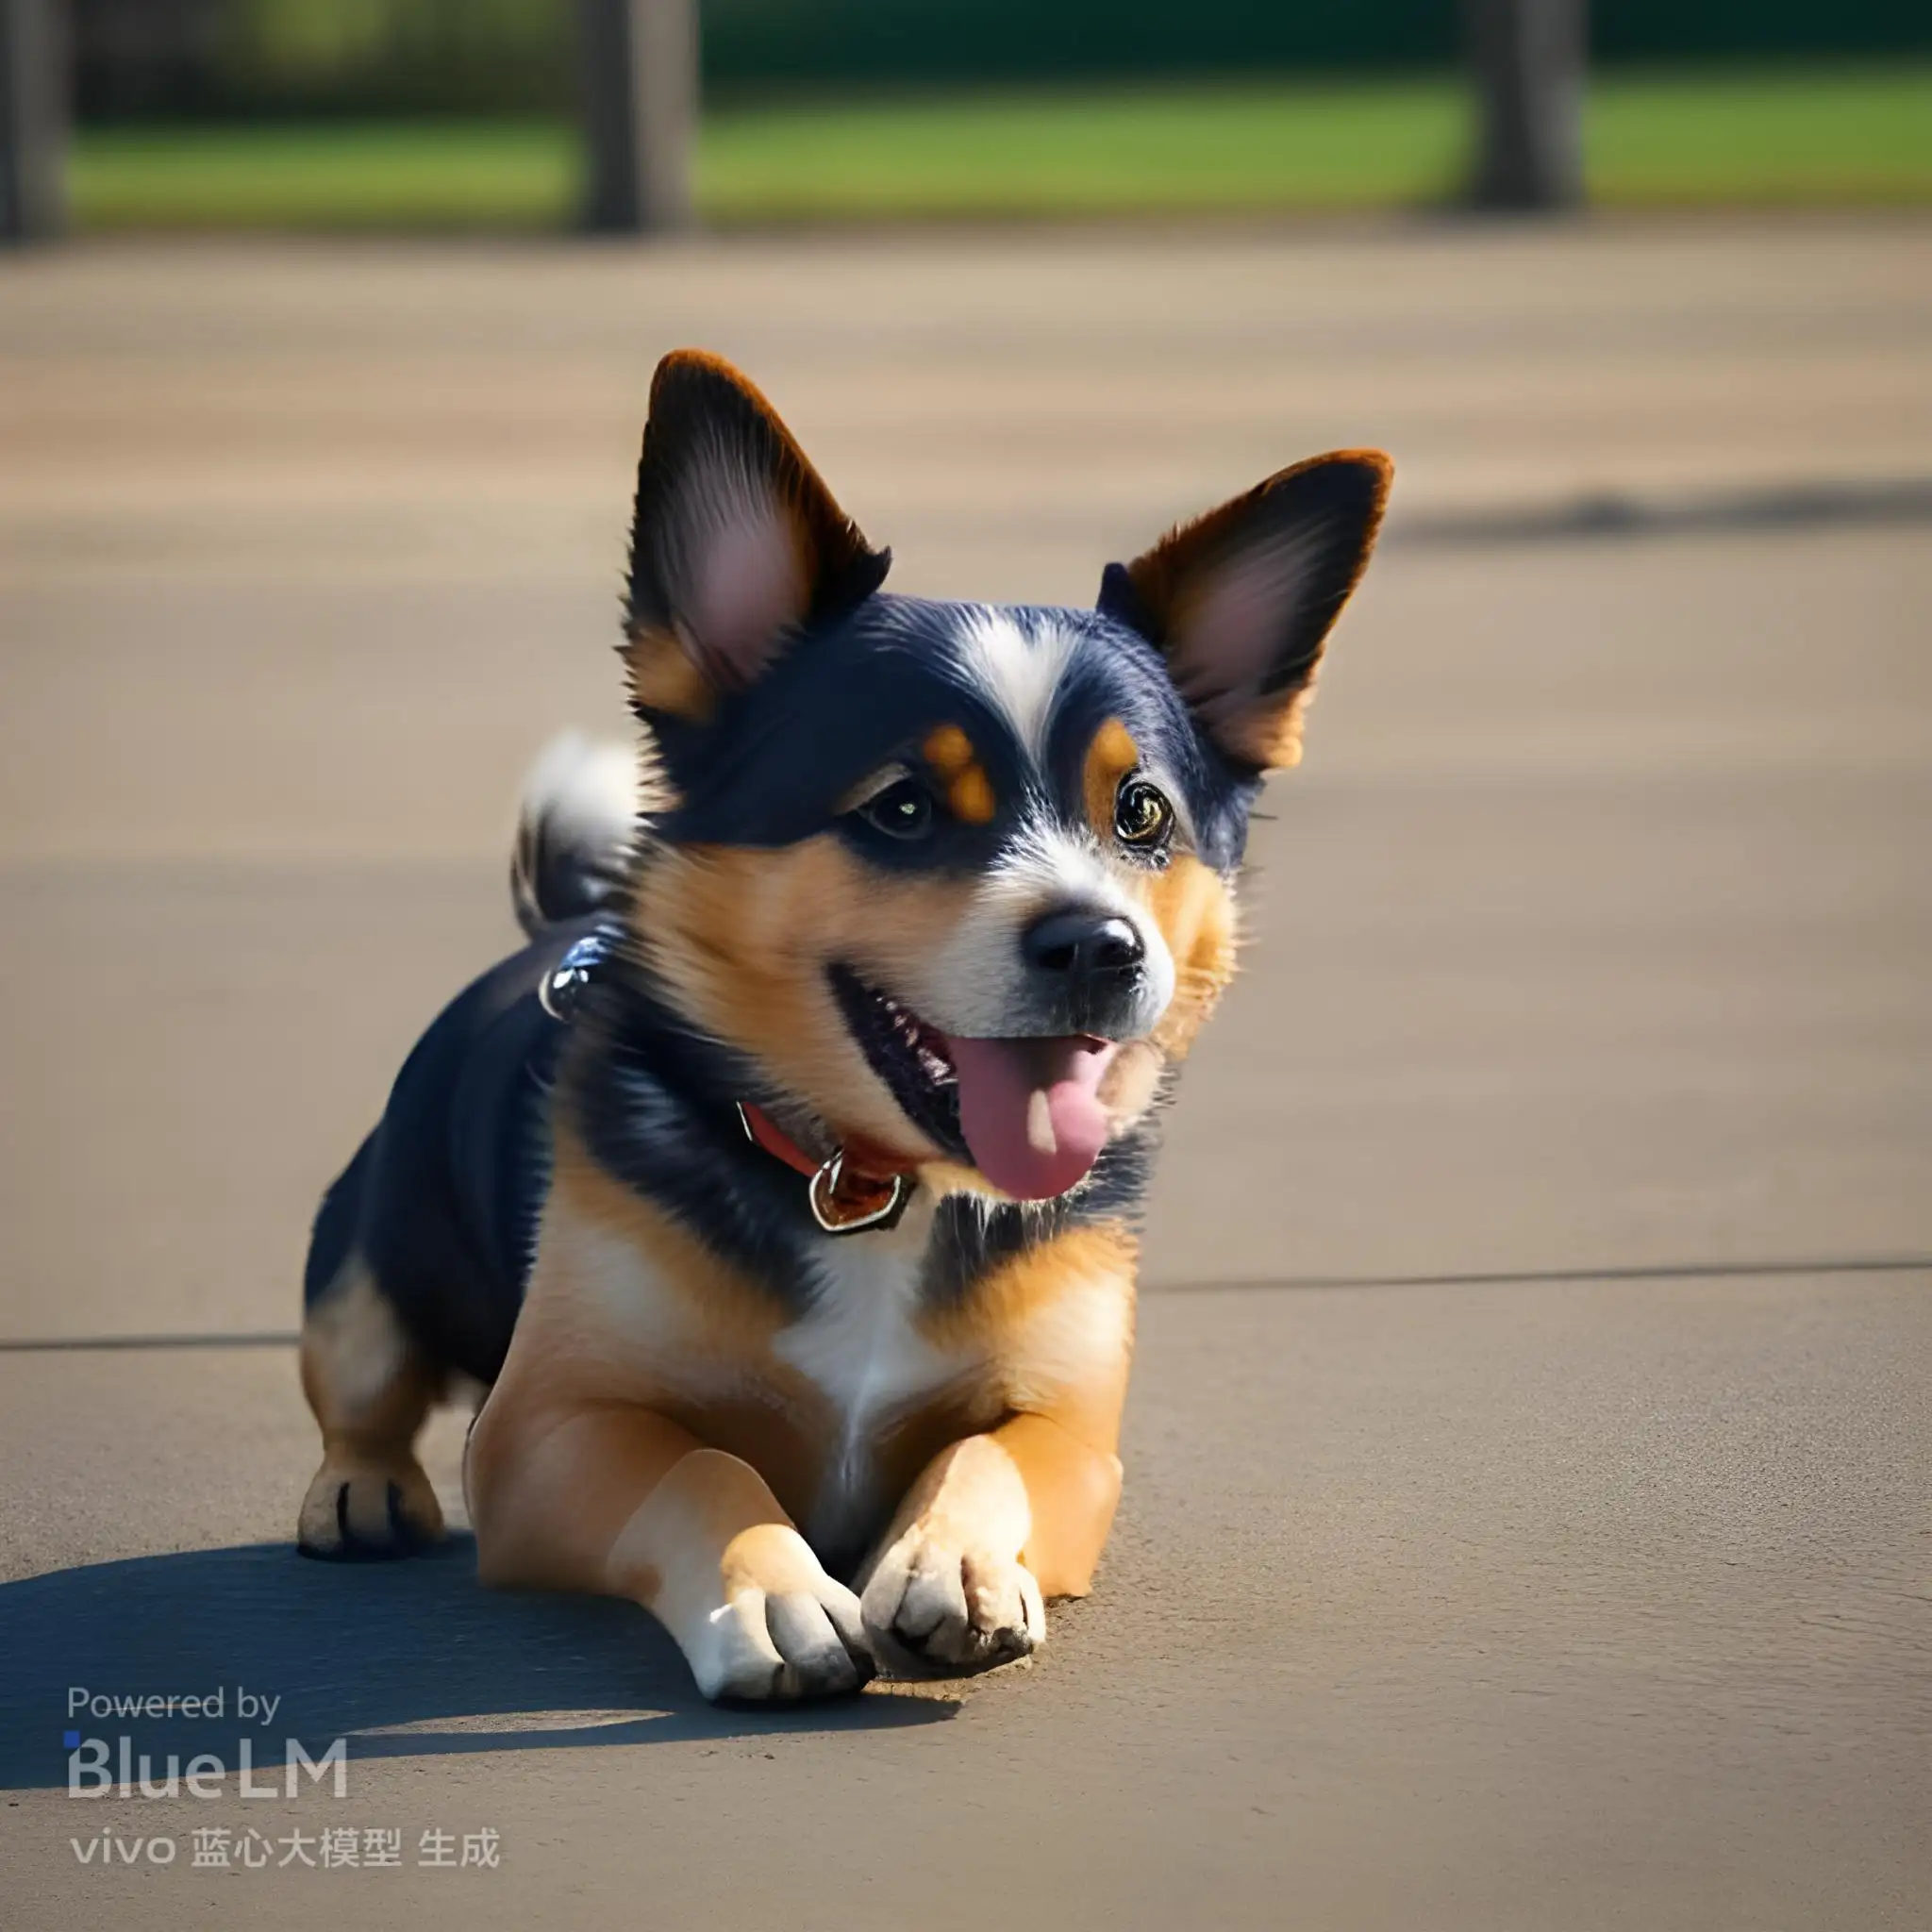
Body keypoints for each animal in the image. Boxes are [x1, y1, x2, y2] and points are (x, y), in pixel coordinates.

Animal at [293, 355, 1391, 1700]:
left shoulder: (1071, 1430)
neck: (872, 1187)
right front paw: (768, 1591)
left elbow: (986, 1456)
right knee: (363, 1387)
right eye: (901, 807)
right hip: (366, 1269)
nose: (1099, 945)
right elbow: (701, 1464)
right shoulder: (546, 1429)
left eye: (1139, 813)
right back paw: (357, 1491)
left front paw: (955, 1560)